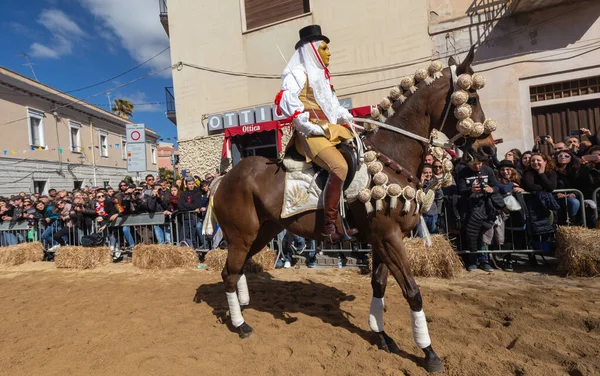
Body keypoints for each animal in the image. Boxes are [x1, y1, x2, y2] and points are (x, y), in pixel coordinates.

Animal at [213, 47, 494, 374]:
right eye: (471, 99)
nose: (488, 149)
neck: (391, 156)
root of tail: (225, 177)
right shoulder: (388, 238)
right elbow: (412, 292)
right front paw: (429, 352)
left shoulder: (383, 239)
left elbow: (379, 285)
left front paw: (381, 335)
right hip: (241, 235)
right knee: (229, 273)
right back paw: (241, 324)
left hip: (262, 232)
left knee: (238, 269)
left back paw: (244, 307)